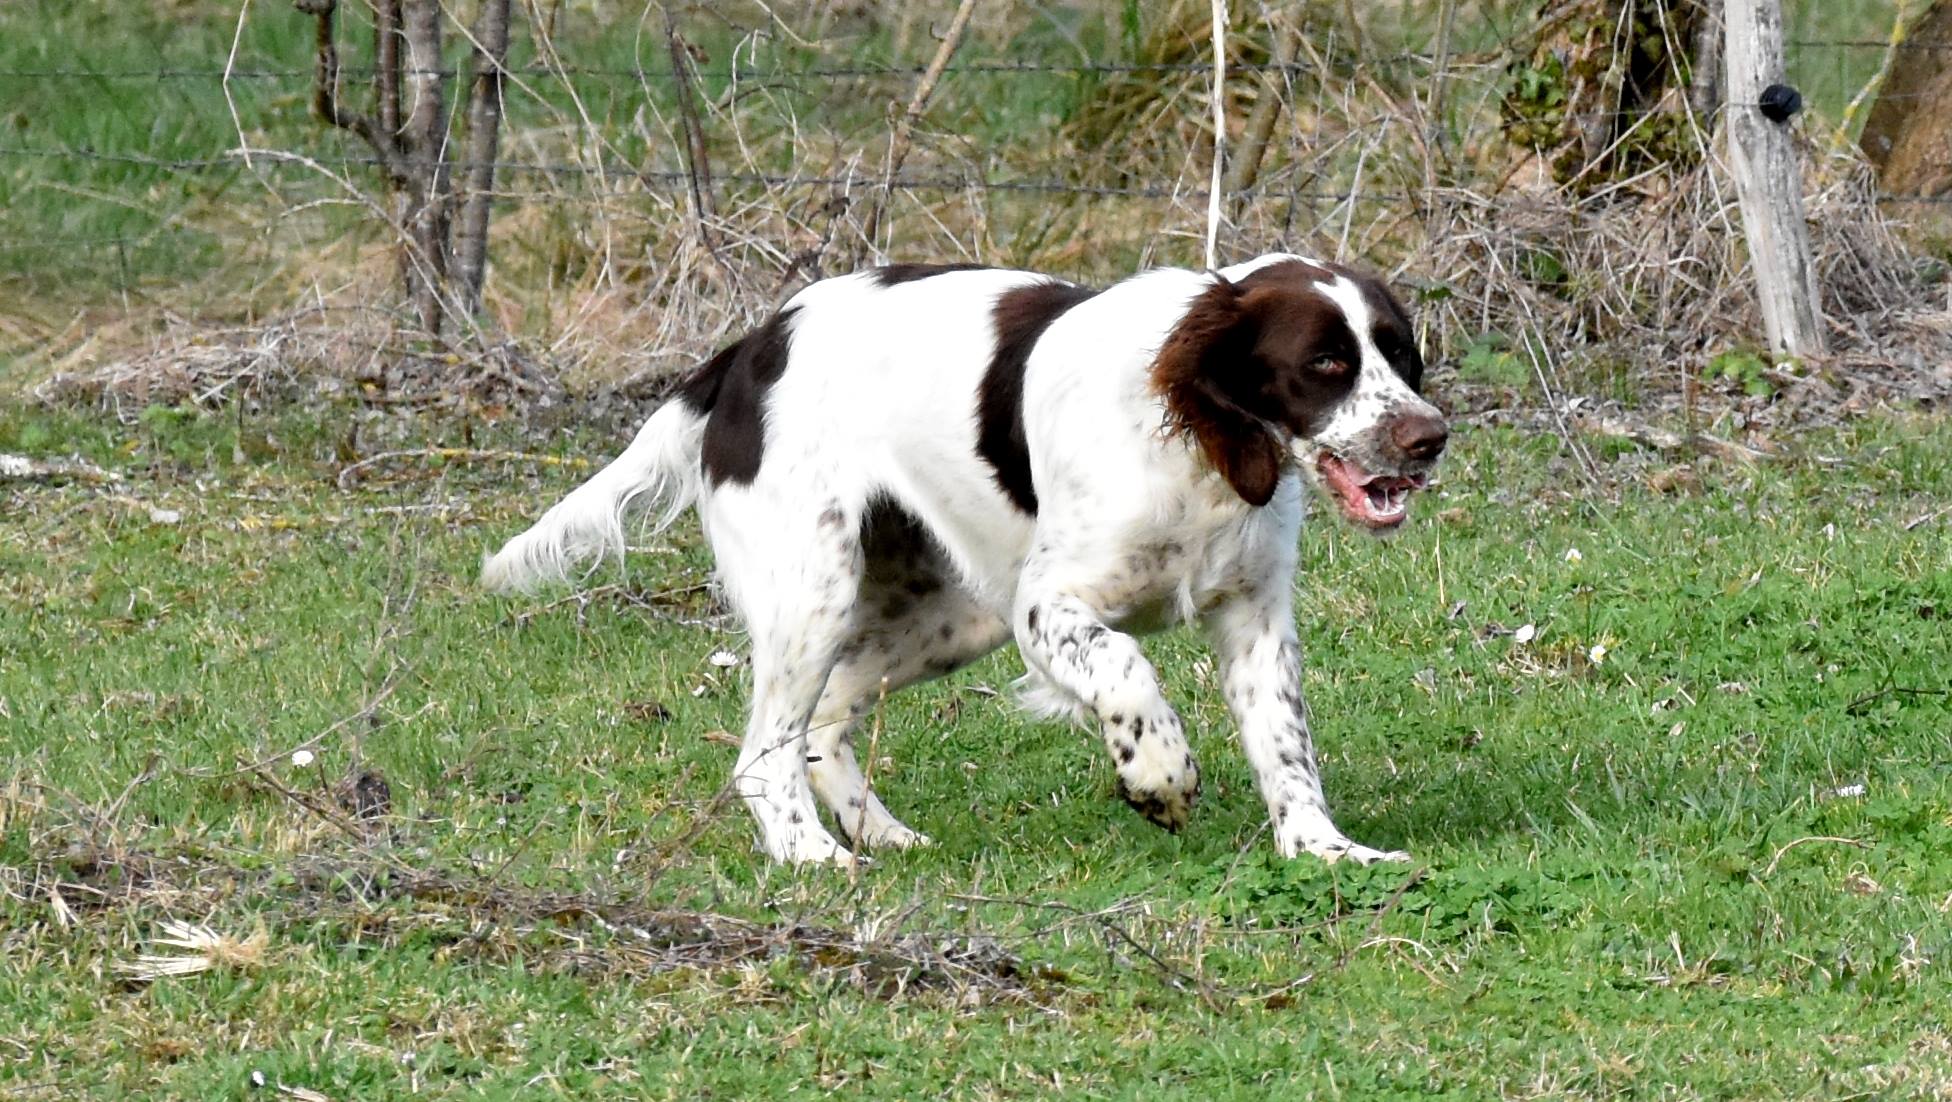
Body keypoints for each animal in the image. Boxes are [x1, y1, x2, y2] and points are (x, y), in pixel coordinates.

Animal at [480, 253, 1444, 862]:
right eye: (1325, 363)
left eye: (1402, 356)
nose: (1430, 437)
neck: (1198, 447)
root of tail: (750, 349)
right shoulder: (1046, 605)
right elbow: (1128, 670)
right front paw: (1158, 777)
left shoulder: (1254, 615)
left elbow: (1286, 745)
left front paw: (1324, 849)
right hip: (818, 591)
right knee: (763, 750)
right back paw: (812, 856)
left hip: (951, 613)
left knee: (823, 724)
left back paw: (882, 836)